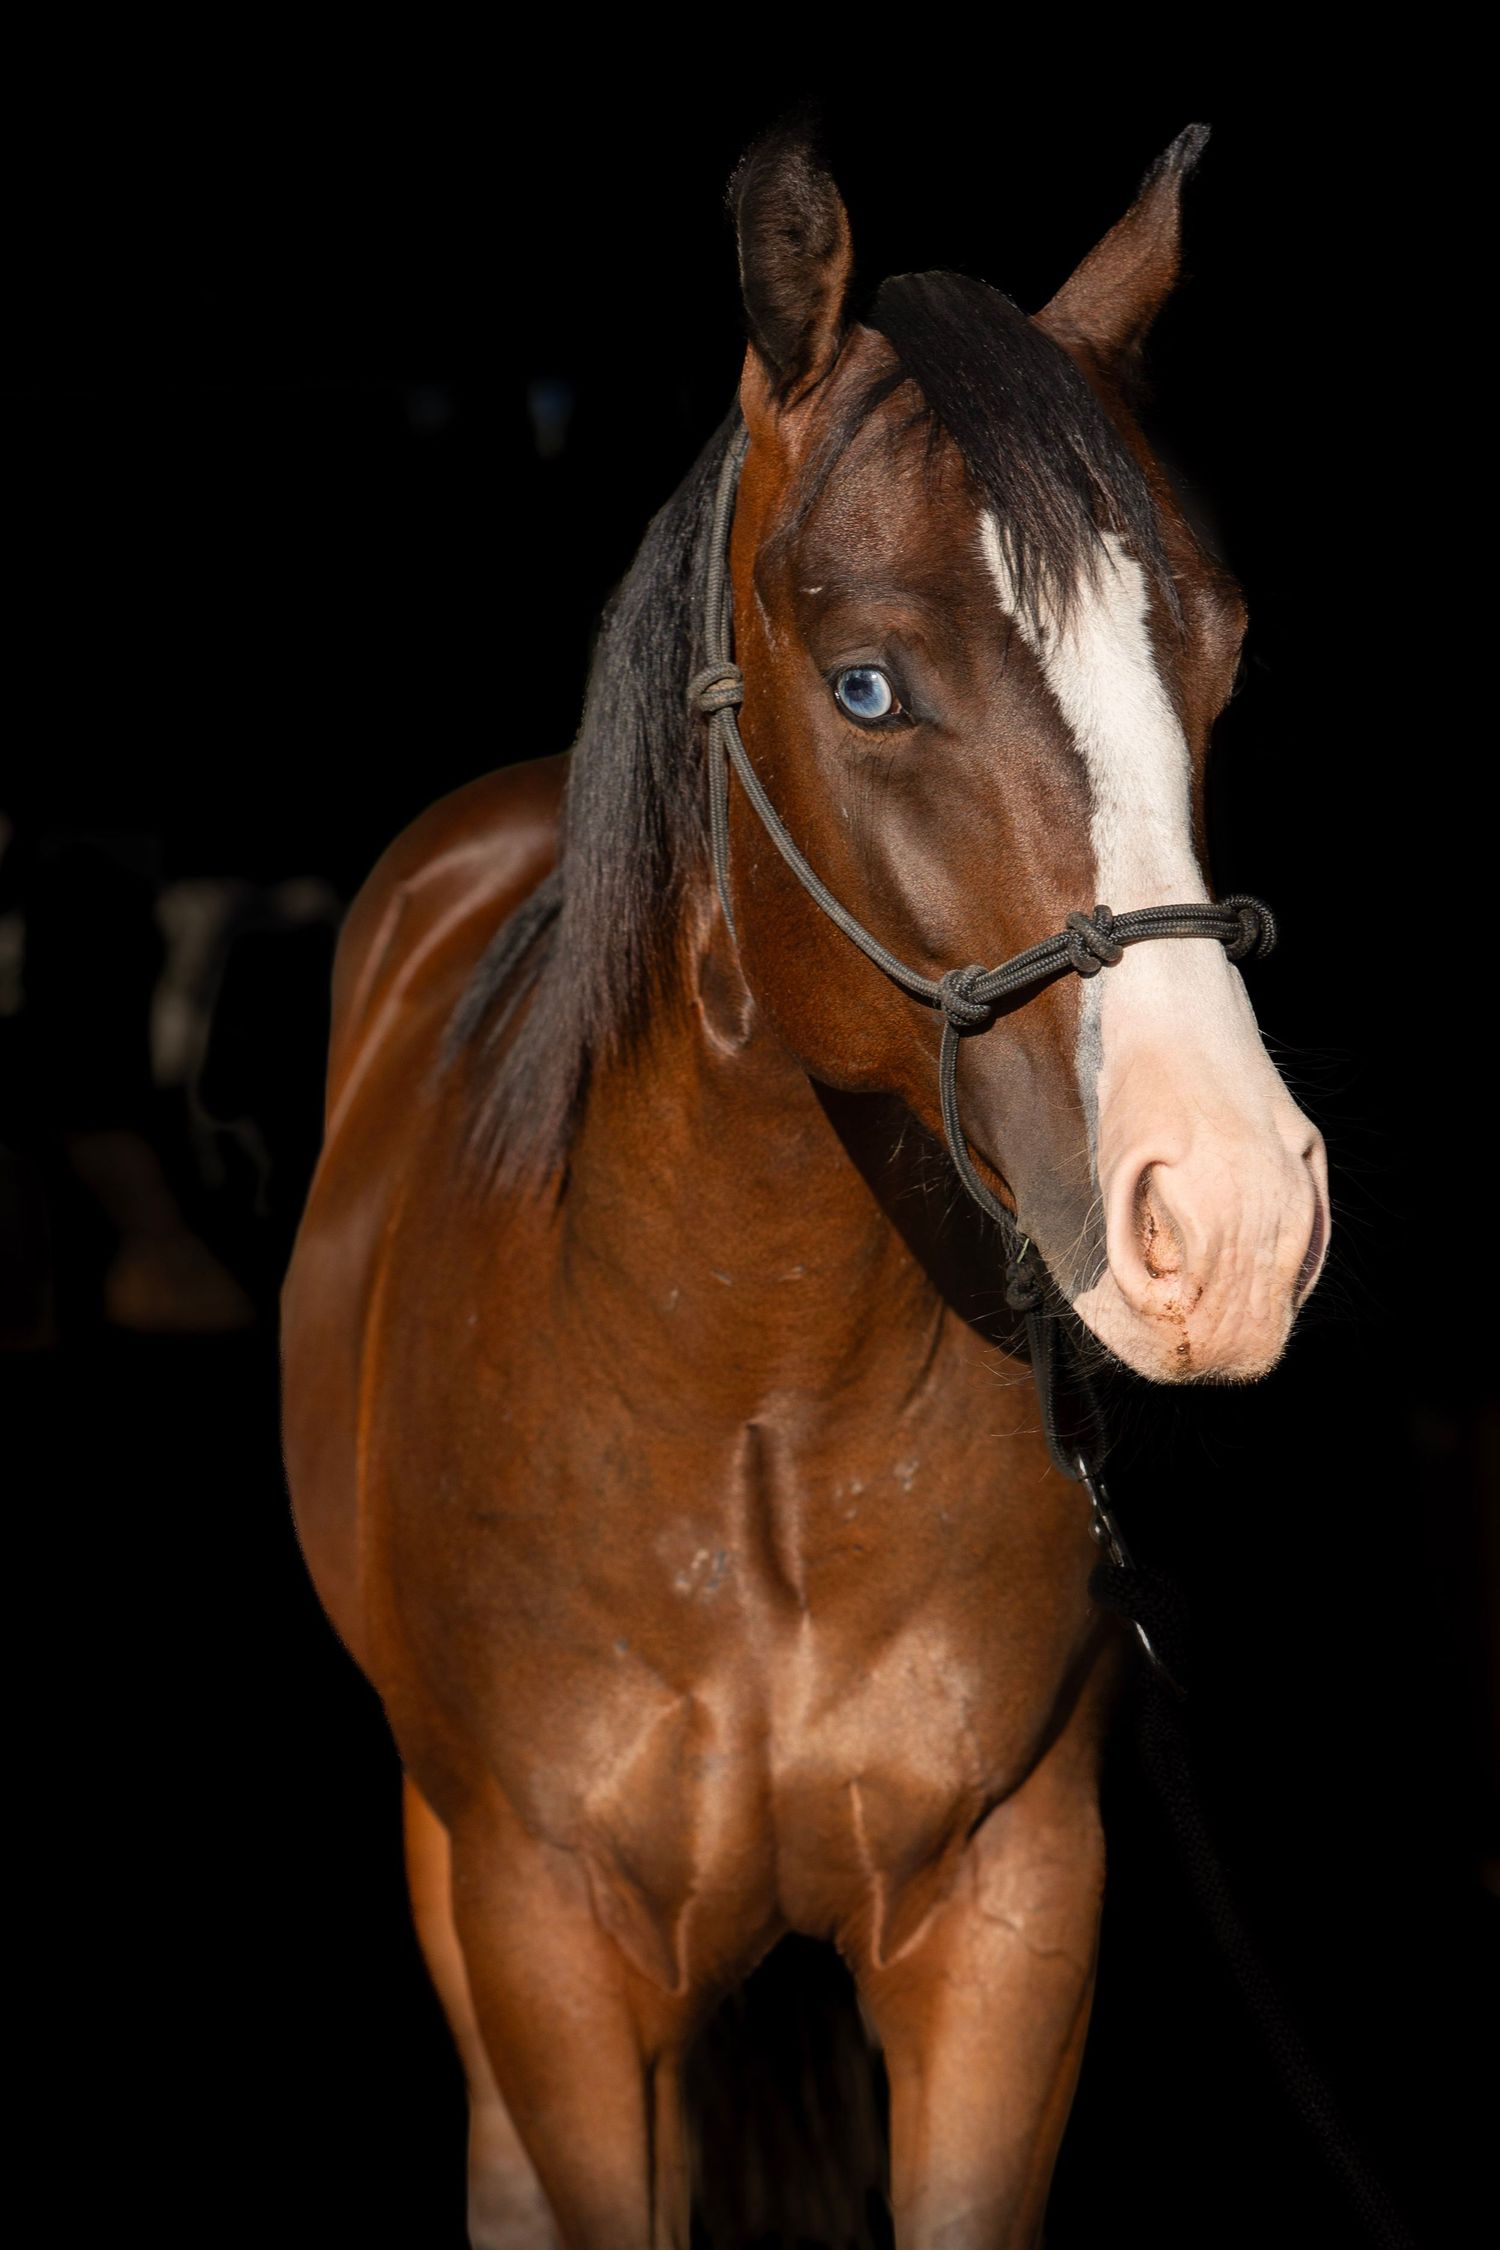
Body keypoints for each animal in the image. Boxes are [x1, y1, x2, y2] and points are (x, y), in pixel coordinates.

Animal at [281, 117, 1329, 2248]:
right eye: (864, 689)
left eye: (1221, 656)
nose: (1233, 1220)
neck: (748, 1402)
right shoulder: (552, 1944)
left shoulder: (1010, 1911)